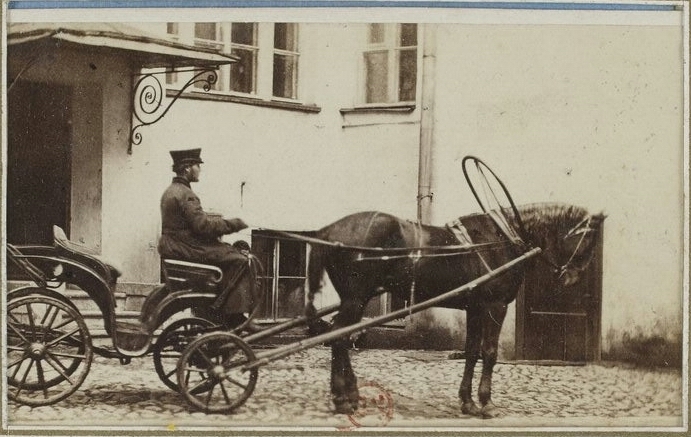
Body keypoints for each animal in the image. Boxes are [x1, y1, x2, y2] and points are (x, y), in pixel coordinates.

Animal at [306, 203, 604, 418]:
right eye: (589, 238)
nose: (572, 278)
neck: (502, 239)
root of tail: (327, 231)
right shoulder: (495, 306)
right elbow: (489, 353)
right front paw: (486, 403)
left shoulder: (474, 308)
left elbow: (471, 352)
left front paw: (468, 402)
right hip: (355, 299)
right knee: (339, 337)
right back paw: (343, 398)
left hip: (355, 300)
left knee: (341, 337)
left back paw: (350, 394)